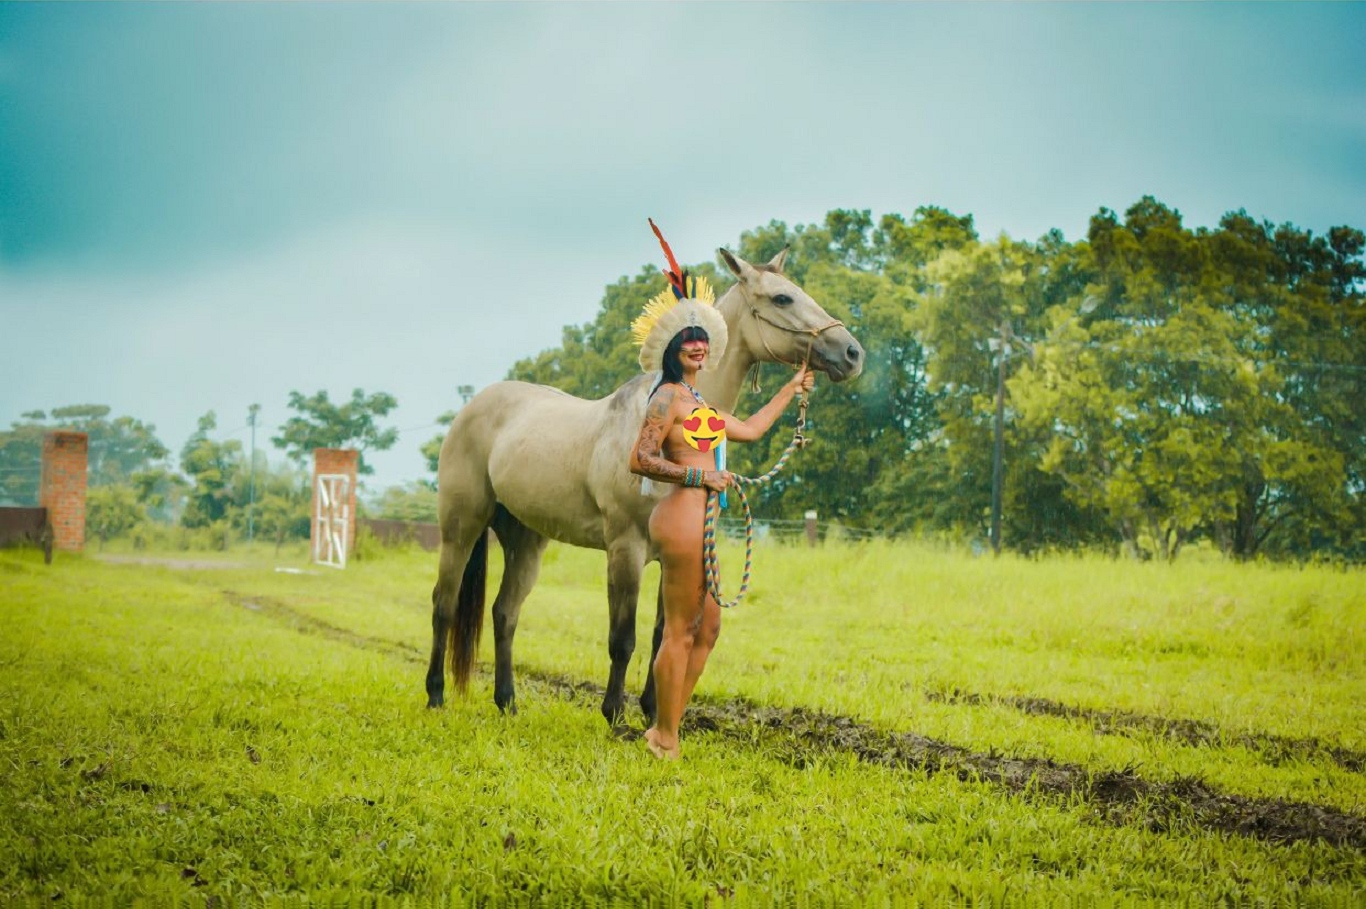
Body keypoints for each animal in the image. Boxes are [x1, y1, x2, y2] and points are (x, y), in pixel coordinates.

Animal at [423, 246, 863, 721]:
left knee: (505, 613)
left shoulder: (680, 551)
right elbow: (623, 639)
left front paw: (653, 712)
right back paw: (435, 695)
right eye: (783, 298)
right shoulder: (625, 549)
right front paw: (614, 714)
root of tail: (475, 406)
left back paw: (507, 703)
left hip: (526, 539)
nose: (852, 353)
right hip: (461, 527)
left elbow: (662, 633)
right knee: (444, 606)